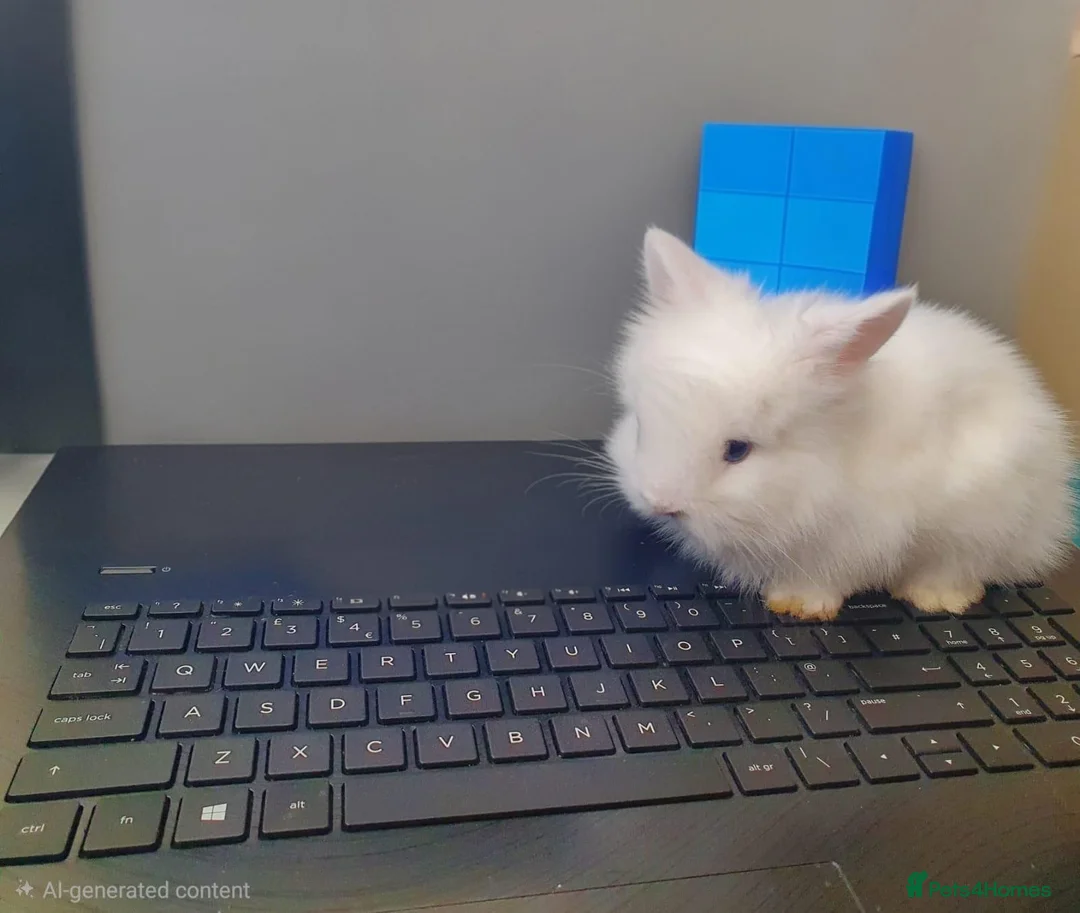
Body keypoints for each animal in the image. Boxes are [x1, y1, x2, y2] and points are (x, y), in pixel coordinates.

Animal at [604, 226, 1075, 620]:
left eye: (738, 450)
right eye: (642, 425)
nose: (661, 503)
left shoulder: (859, 535)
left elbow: (827, 577)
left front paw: (798, 605)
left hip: (986, 517)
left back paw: (936, 598)